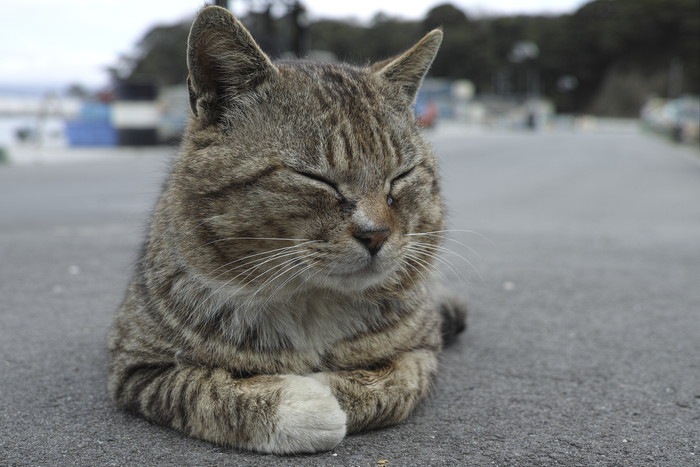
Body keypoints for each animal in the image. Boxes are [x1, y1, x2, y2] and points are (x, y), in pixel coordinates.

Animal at [106, 5, 468, 456]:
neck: (311, 301)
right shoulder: (134, 366)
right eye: (315, 178)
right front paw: (301, 404)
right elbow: (202, 389)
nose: (376, 234)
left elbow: (395, 385)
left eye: (401, 176)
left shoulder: (423, 351)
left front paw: (330, 390)